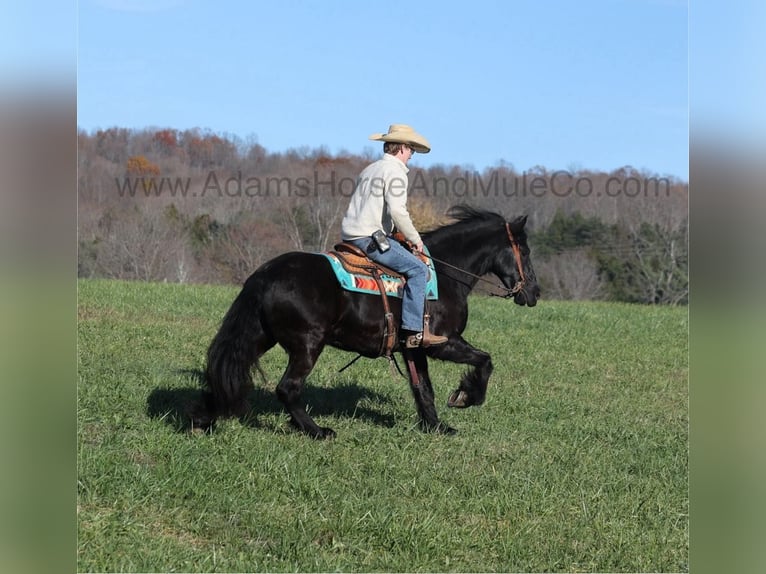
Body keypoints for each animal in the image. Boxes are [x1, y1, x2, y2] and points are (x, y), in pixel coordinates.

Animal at [195, 205, 540, 438]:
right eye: (524, 250)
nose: (534, 293)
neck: (443, 275)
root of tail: (265, 274)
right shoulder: (442, 343)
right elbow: (485, 360)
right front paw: (466, 397)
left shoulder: (413, 348)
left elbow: (423, 388)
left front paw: (435, 426)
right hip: (307, 345)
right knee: (287, 388)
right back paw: (317, 431)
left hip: (259, 336)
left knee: (228, 370)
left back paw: (205, 419)